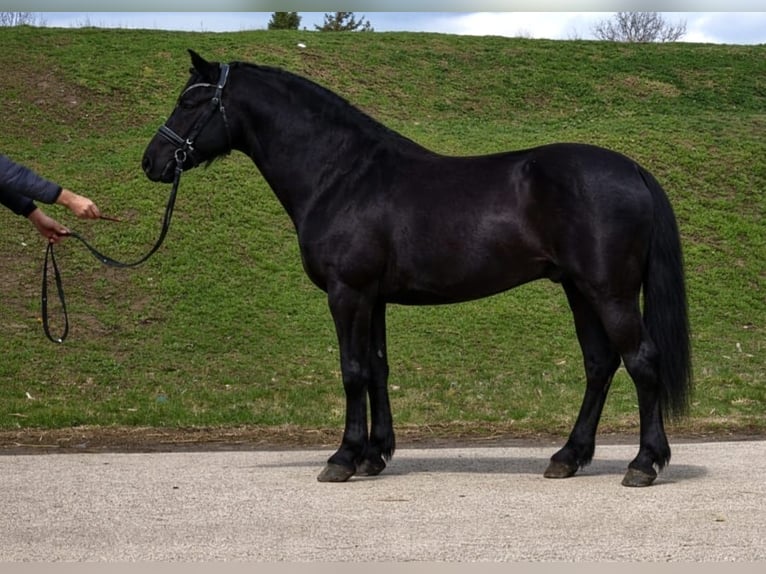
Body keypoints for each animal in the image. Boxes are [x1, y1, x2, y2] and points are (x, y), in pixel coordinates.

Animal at [142, 50, 692, 487]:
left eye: (189, 102)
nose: (152, 161)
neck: (342, 175)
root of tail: (633, 170)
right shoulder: (374, 297)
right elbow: (378, 368)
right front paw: (374, 456)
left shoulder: (347, 292)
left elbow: (352, 370)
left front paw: (342, 458)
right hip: (579, 290)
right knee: (599, 364)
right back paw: (567, 457)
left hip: (609, 292)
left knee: (641, 360)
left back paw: (644, 464)